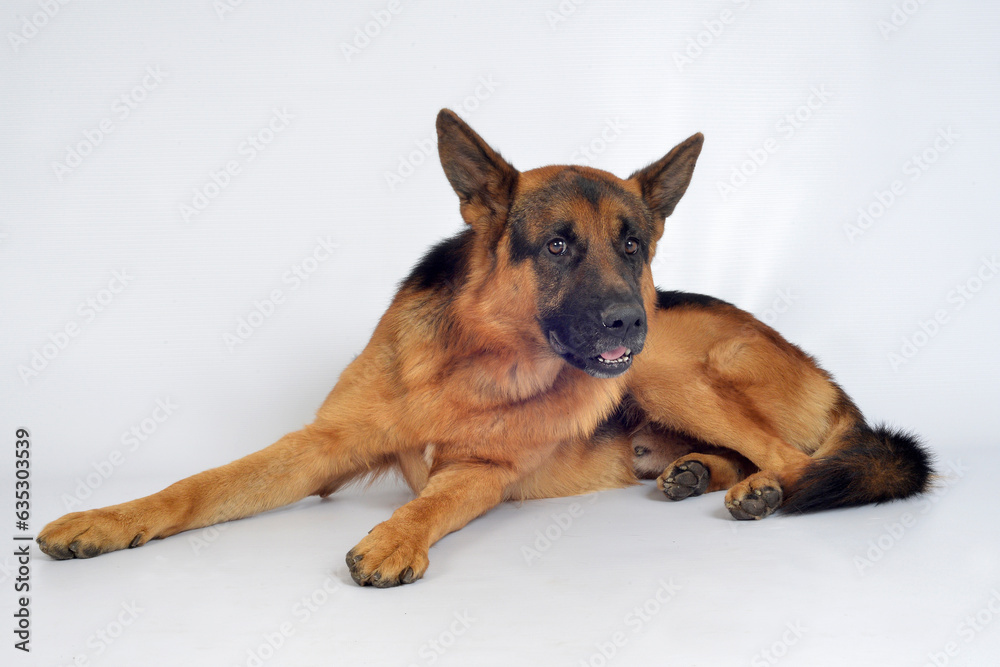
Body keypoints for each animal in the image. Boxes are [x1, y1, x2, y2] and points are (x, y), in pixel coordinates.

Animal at [37, 111, 928, 588]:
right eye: (559, 245)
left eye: (632, 244)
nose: (625, 321)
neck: (471, 360)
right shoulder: (316, 447)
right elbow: (196, 485)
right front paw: (105, 519)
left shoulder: (482, 471)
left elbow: (426, 501)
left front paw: (394, 537)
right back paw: (695, 473)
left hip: (670, 367)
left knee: (791, 453)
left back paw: (760, 488)